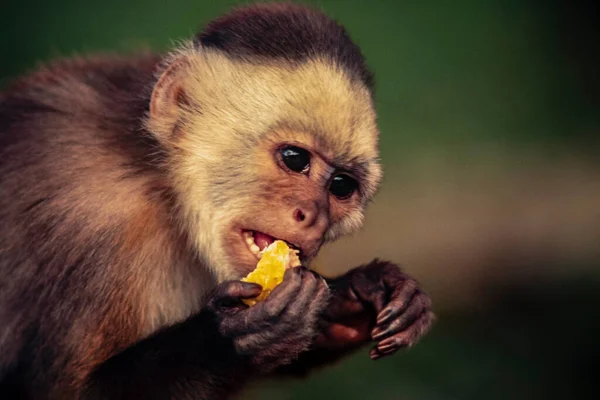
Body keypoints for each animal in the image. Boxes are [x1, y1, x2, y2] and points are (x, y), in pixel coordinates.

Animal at [0, 3, 432, 400]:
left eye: (342, 186)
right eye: (295, 159)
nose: (313, 218)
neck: (160, 184)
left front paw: (354, 295)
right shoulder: (94, 222)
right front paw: (233, 337)